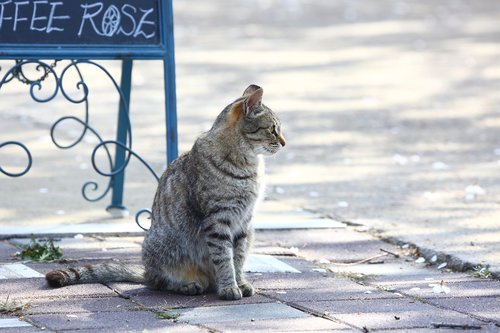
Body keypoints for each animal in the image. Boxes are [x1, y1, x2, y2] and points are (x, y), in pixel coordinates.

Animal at [48, 84, 288, 300]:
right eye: (272, 129)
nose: (284, 143)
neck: (249, 165)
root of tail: (146, 270)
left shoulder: (244, 223)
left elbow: (238, 258)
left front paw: (240, 283)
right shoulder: (218, 220)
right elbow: (224, 258)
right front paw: (229, 287)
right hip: (164, 247)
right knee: (158, 282)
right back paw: (188, 285)